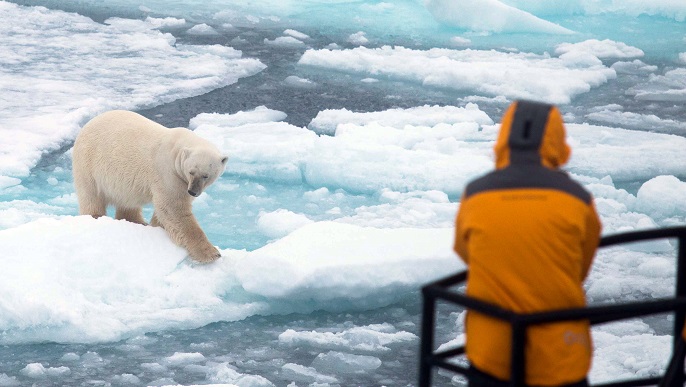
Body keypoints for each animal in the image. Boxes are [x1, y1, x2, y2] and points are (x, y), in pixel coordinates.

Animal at [73, 110, 228, 266]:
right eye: (191, 172)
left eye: (206, 175)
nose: (193, 191)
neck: (177, 149)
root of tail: (88, 124)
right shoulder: (169, 173)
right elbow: (173, 209)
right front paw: (211, 253)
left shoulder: (182, 180)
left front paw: (157, 225)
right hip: (88, 163)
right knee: (91, 195)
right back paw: (96, 216)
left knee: (128, 201)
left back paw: (139, 222)